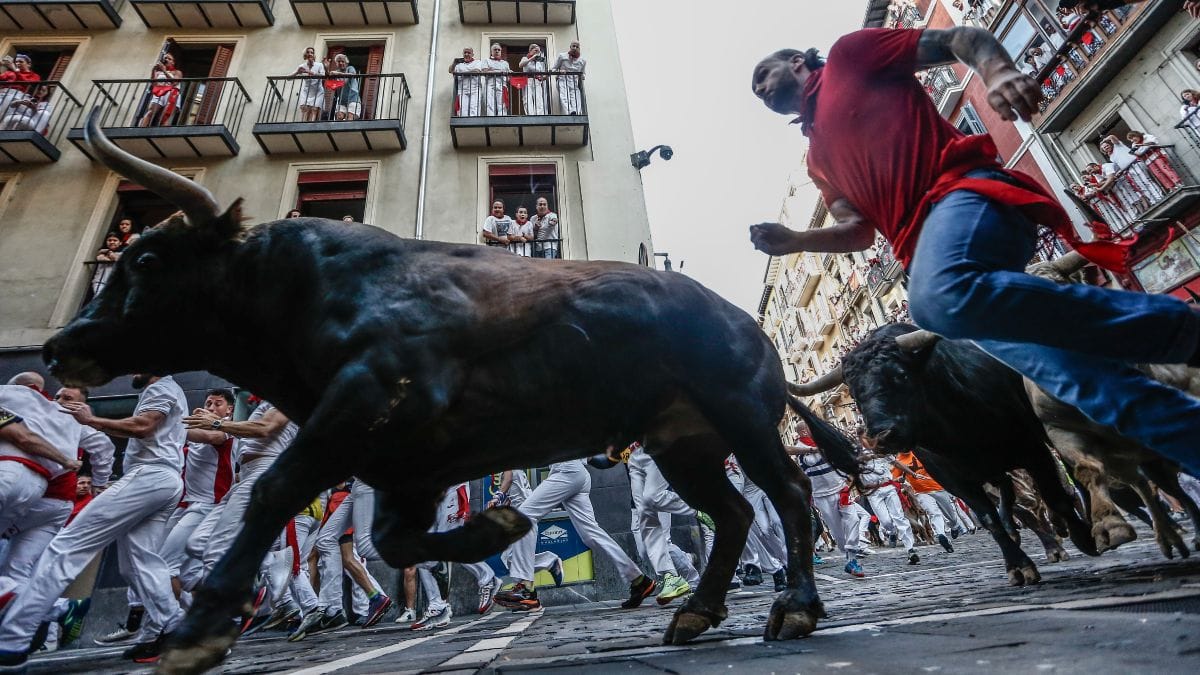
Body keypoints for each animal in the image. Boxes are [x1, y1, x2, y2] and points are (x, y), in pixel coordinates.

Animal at [44, 109, 844, 667]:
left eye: (148, 259)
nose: (59, 349)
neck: (306, 292)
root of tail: (741, 317)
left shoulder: (362, 400)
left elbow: (274, 491)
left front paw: (199, 629)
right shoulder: (409, 466)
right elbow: (393, 541)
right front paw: (501, 526)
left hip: (740, 417)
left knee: (788, 493)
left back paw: (795, 606)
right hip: (683, 443)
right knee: (734, 512)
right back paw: (696, 611)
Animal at [796, 319, 1099, 583]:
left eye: (900, 375)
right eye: (855, 393)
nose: (879, 436)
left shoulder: (1033, 449)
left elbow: (1055, 495)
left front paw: (1083, 537)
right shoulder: (955, 480)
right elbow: (989, 518)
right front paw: (1018, 566)